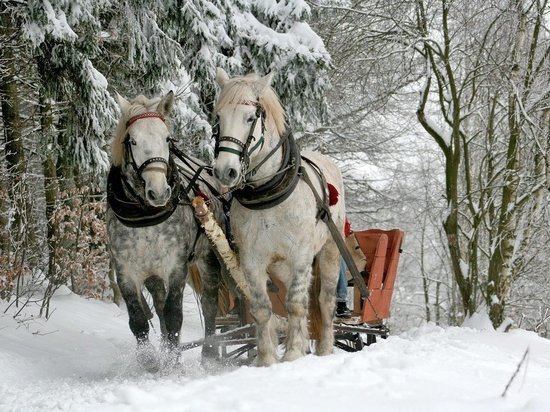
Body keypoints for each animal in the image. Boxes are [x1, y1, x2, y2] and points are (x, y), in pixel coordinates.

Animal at [106, 91, 222, 372]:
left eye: (167, 138)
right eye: (133, 140)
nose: (158, 192)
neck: (146, 217)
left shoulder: (175, 267)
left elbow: (174, 315)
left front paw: (172, 360)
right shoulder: (126, 271)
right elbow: (138, 319)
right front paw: (150, 360)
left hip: (207, 258)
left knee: (209, 303)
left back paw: (209, 353)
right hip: (153, 275)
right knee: (158, 307)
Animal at [212, 68, 344, 366]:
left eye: (250, 118)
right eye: (218, 117)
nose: (225, 171)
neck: (268, 192)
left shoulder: (301, 256)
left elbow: (296, 304)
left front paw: (293, 353)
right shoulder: (252, 260)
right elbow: (262, 308)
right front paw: (267, 359)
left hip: (329, 250)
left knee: (324, 301)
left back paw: (325, 349)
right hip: (280, 265)